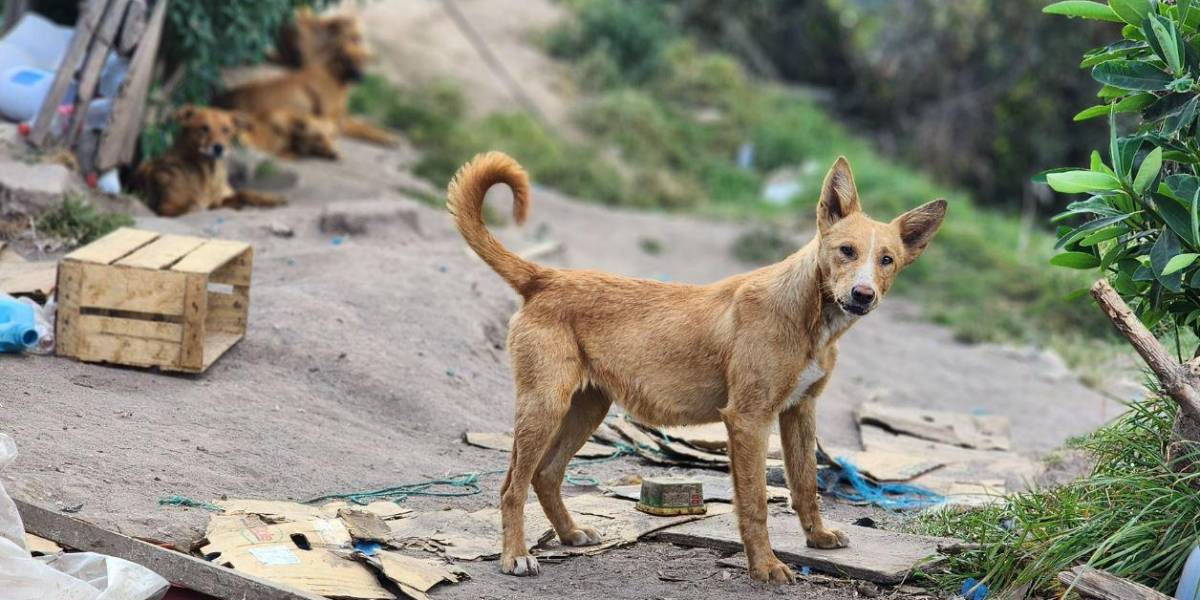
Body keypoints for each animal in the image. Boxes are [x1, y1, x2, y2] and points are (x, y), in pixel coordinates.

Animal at [133, 106, 285, 218]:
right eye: (204, 128)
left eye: (226, 130)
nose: (218, 147)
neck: (209, 174)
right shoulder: (168, 207)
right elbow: (196, 206)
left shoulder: (223, 196)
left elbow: (245, 193)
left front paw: (270, 199)